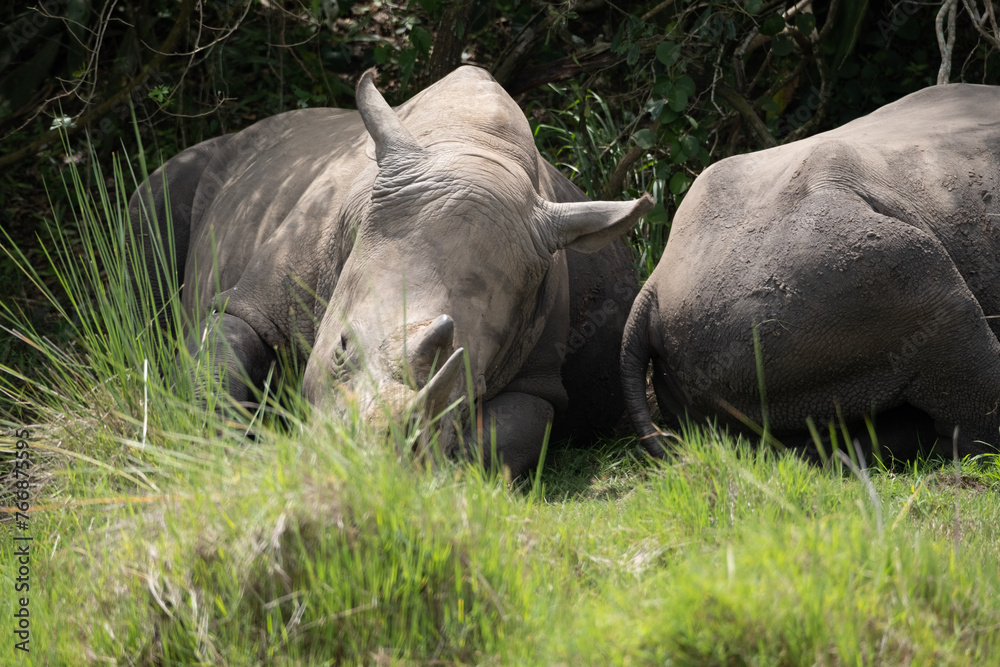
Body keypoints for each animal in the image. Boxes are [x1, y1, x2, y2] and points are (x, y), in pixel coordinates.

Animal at [128, 66, 653, 477]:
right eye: (340, 346)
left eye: (473, 390)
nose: (367, 465)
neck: (471, 146)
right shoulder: (253, 303)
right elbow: (220, 370)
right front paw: (225, 463)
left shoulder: (539, 378)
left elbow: (499, 441)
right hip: (203, 164)